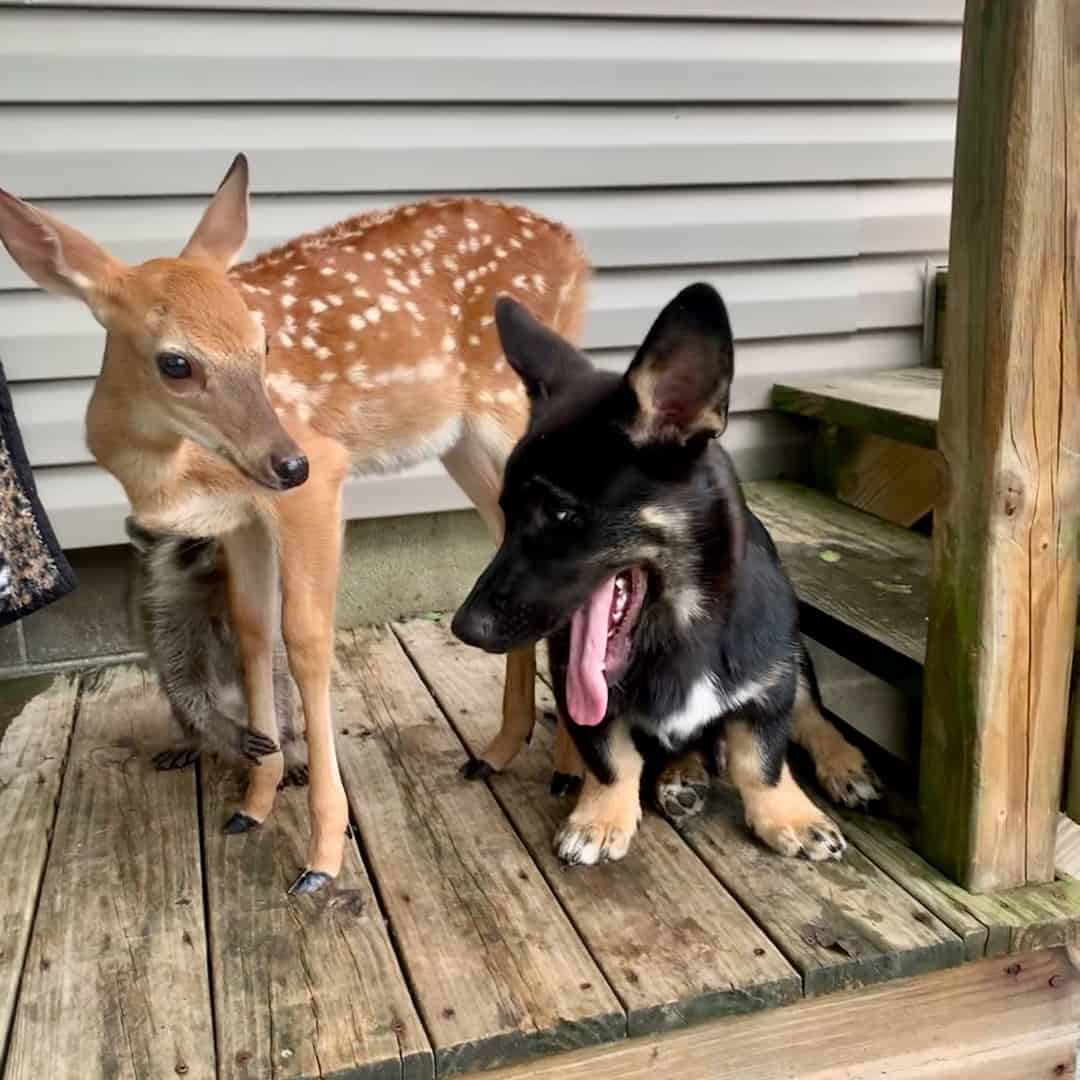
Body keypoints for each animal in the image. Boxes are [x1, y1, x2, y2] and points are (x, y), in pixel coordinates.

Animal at [451, 282, 881, 864]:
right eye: (507, 513)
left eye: (560, 514)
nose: (464, 629)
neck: (680, 625)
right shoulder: (577, 691)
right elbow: (611, 755)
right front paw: (600, 816)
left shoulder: (770, 679)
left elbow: (762, 757)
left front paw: (787, 814)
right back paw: (682, 775)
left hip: (796, 660)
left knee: (811, 714)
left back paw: (843, 763)